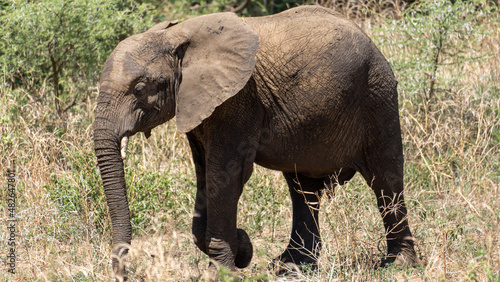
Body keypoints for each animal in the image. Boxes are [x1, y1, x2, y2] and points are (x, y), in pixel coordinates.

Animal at [93, 5, 418, 278]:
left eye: (139, 89)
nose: (125, 274)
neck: (175, 37)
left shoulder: (238, 100)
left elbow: (225, 175)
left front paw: (224, 269)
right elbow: (204, 175)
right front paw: (241, 248)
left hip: (377, 94)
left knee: (385, 178)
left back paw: (398, 266)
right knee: (303, 188)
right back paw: (291, 266)